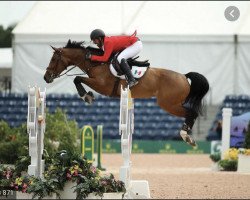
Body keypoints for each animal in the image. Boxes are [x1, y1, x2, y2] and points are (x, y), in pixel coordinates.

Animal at [44, 39, 209, 147]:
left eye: (54, 59)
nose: (46, 77)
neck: (97, 63)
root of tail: (184, 76)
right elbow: (78, 79)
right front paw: (87, 96)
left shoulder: (101, 85)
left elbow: (77, 78)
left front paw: (87, 96)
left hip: (168, 104)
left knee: (191, 113)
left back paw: (186, 136)